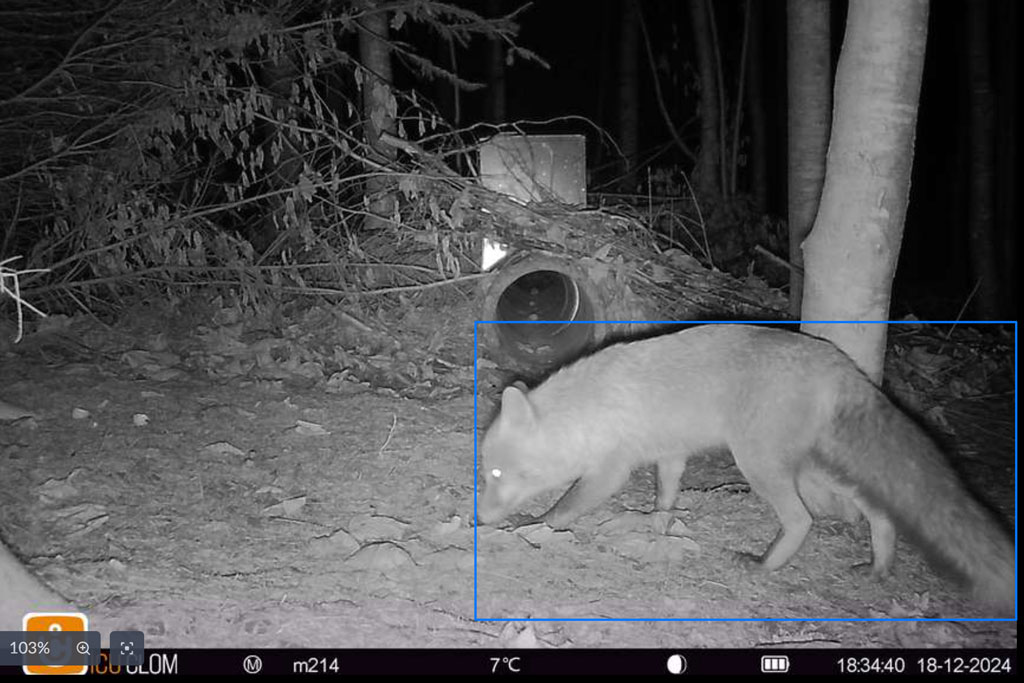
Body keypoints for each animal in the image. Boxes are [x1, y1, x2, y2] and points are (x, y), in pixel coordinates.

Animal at [477, 324, 1016, 613]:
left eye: (496, 476)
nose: (479, 519)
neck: (590, 410)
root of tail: (837, 362)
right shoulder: (669, 453)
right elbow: (665, 496)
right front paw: (659, 524)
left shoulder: (610, 469)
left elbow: (564, 509)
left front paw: (533, 528)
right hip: (811, 469)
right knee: (879, 511)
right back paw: (880, 567)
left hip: (760, 464)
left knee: (803, 520)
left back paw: (765, 565)